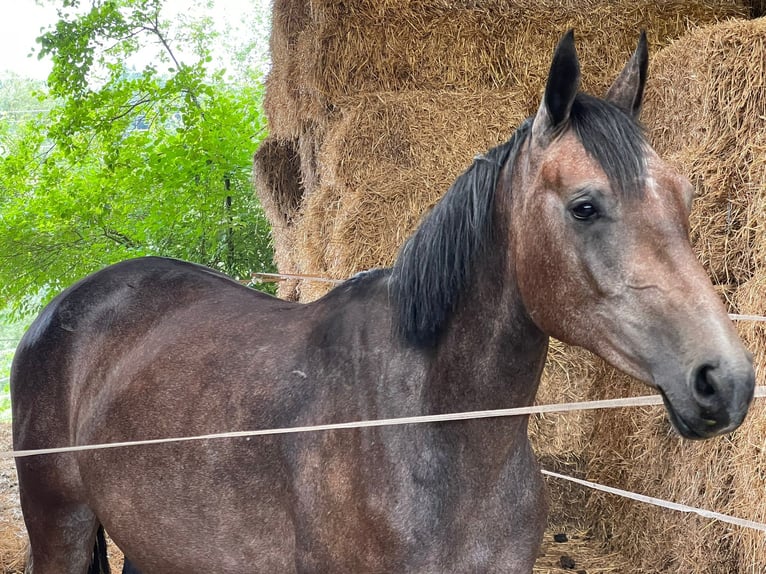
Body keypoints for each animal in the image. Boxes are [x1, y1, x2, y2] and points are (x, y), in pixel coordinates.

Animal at [12, 30, 755, 574]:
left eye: (685, 196)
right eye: (585, 206)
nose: (726, 380)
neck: (429, 424)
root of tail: (61, 311)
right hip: (62, 533)